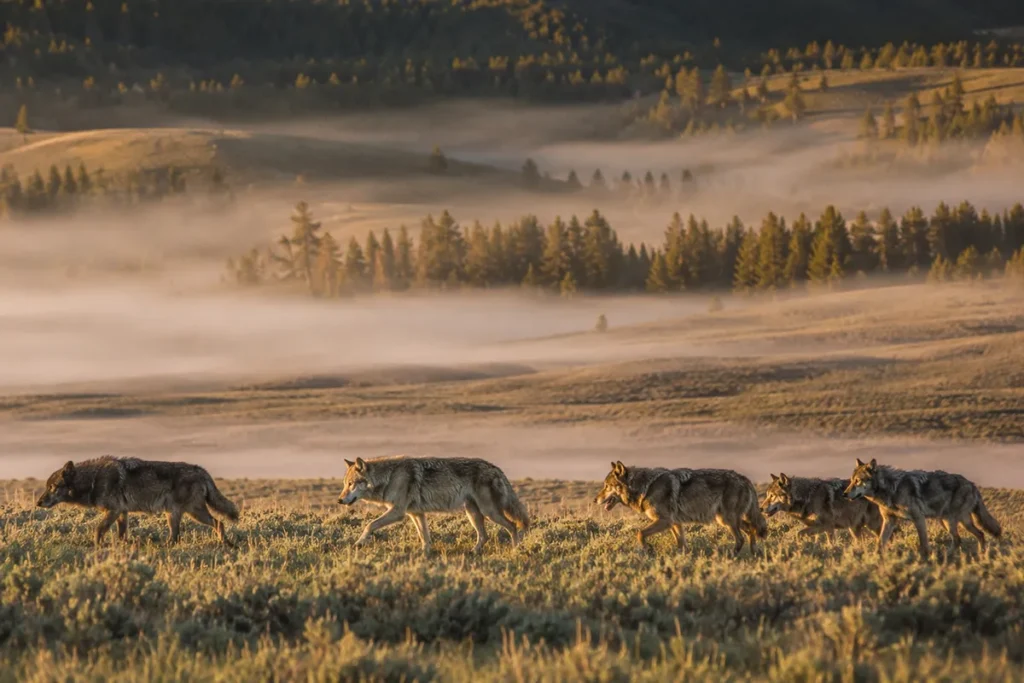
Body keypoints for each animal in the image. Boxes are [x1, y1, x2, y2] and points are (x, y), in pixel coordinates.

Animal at [36, 456, 239, 546]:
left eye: (52, 487)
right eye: (47, 487)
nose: (38, 503)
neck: (93, 480)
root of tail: (201, 470)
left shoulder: (113, 511)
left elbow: (98, 530)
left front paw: (97, 547)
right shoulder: (122, 513)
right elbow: (121, 534)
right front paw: (123, 547)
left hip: (191, 512)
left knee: (218, 523)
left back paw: (224, 544)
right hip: (174, 514)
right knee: (178, 535)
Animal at [337, 456, 530, 553]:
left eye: (351, 484)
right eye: (344, 484)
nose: (339, 500)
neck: (390, 477)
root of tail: (495, 468)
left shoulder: (398, 512)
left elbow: (369, 525)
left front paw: (358, 543)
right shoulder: (416, 514)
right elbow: (424, 536)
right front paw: (424, 554)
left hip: (488, 511)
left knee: (512, 526)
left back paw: (515, 550)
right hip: (473, 513)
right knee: (484, 536)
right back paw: (473, 552)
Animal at [594, 462, 767, 554]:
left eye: (607, 486)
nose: (595, 499)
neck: (645, 487)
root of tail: (745, 478)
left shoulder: (664, 521)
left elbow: (639, 534)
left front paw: (648, 550)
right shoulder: (675, 523)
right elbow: (681, 543)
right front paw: (682, 558)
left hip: (727, 520)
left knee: (741, 538)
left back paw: (731, 556)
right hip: (727, 519)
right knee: (751, 529)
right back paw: (755, 552)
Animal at [845, 458, 1002, 558]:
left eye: (858, 481)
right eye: (851, 481)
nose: (844, 494)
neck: (891, 488)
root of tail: (972, 484)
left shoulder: (918, 518)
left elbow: (923, 543)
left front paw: (925, 558)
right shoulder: (889, 520)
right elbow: (880, 541)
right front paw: (876, 557)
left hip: (953, 522)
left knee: (965, 537)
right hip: (948, 522)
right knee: (974, 536)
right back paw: (977, 554)